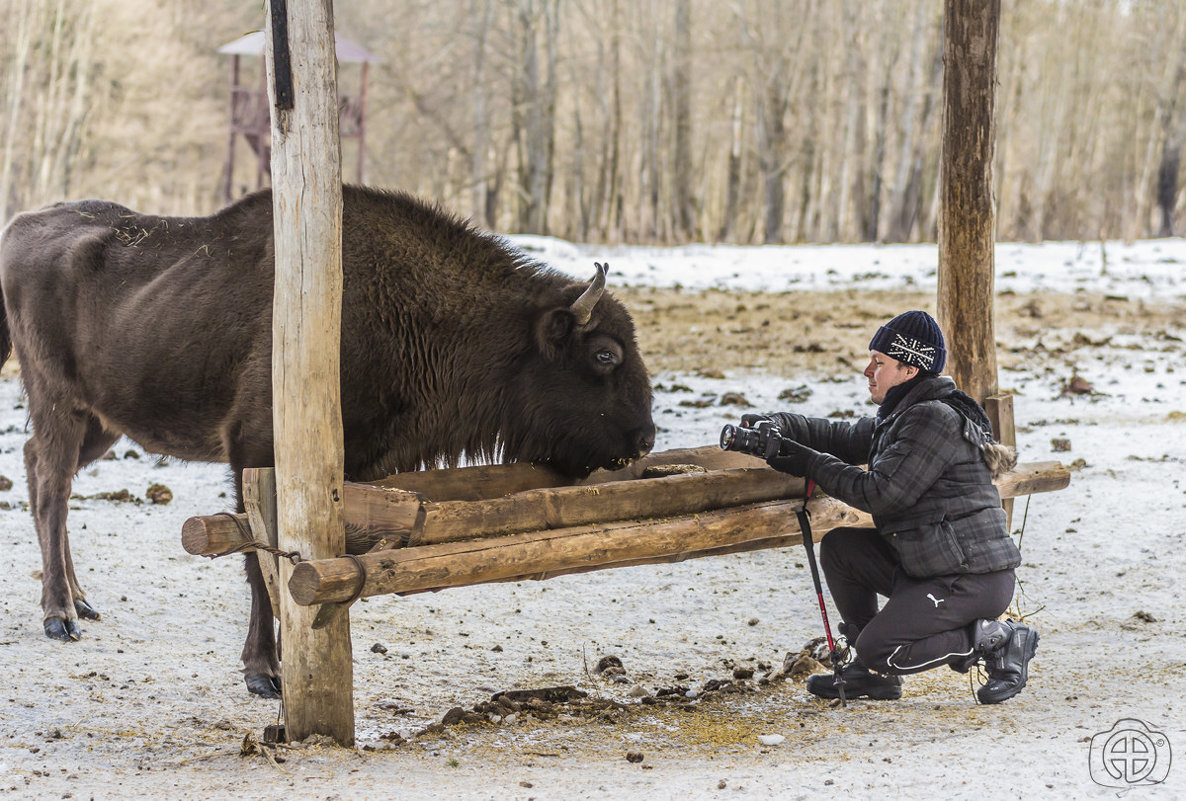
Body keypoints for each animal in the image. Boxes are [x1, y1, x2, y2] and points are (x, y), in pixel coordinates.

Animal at [0, 185, 659, 697]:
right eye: (605, 355)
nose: (646, 437)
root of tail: (20, 225)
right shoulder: (255, 454)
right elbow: (260, 562)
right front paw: (265, 673)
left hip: (103, 422)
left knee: (40, 472)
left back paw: (81, 600)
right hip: (58, 400)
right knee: (52, 487)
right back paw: (60, 616)